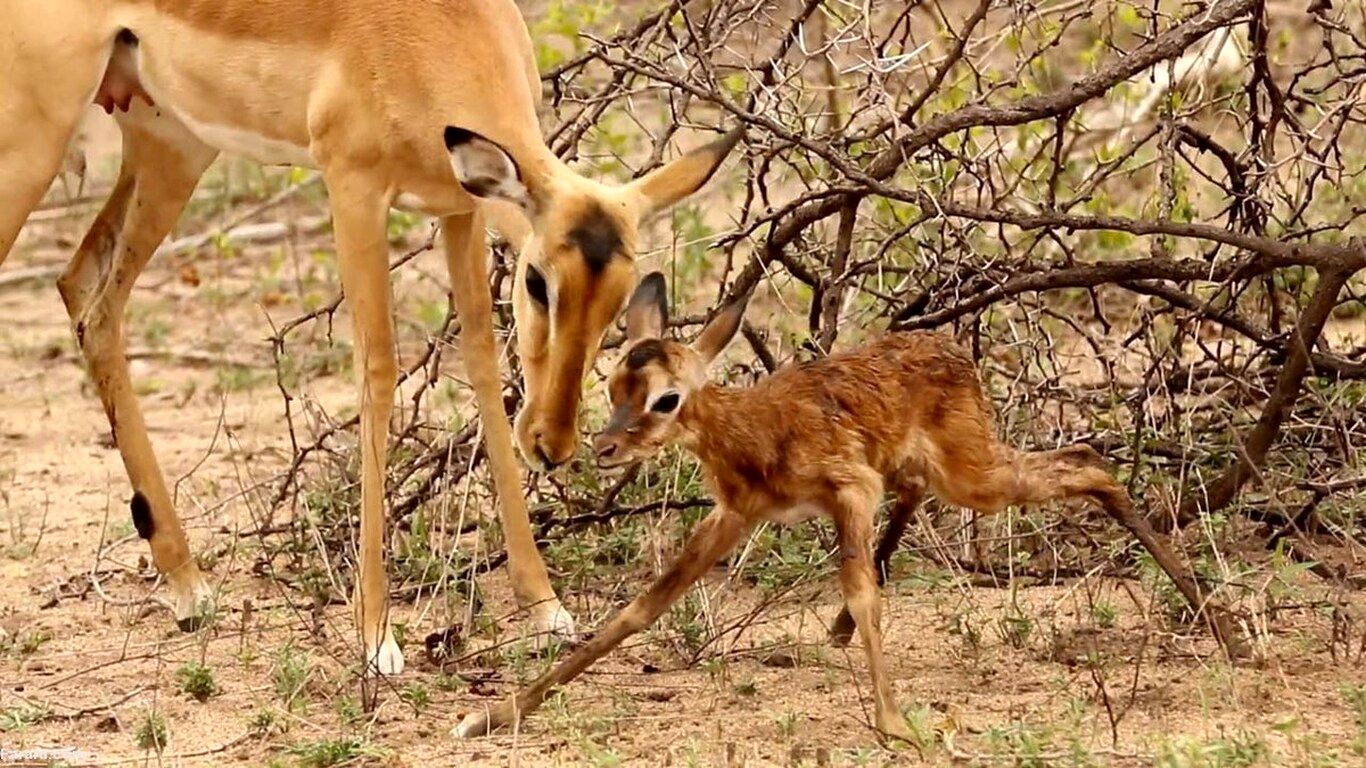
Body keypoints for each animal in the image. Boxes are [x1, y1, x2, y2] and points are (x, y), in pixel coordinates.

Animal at [453, 271, 1136, 737]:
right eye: (615, 385)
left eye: (667, 398)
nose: (604, 448)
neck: (753, 432)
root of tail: (953, 351)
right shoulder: (735, 516)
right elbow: (639, 610)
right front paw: (490, 717)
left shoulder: (851, 492)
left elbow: (864, 595)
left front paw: (895, 725)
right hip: (940, 472)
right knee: (1051, 467)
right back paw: (835, 632)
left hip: (973, 477)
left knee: (1088, 464)